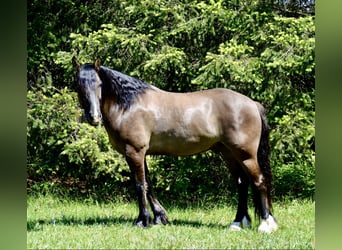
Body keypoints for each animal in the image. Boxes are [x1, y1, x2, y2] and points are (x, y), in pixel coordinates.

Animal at [72, 57, 278, 233]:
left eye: (99, 84)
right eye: (79, 85)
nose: (94, 117)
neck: (128, 105)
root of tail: (252, 103)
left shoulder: (134, 152)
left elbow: (139, 185)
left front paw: (142, 220)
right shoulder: (141, 154)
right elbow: (148, 184)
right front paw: (159, 217)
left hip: (246, 154)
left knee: (259, 181)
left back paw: (266, 224)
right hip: (228, 153)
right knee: (242, 183)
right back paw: (237, 223)